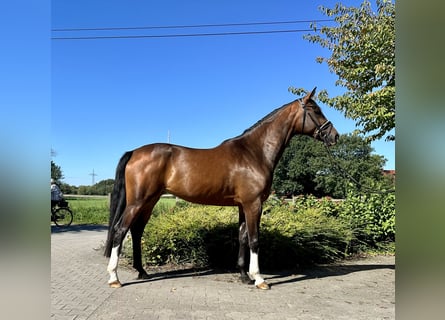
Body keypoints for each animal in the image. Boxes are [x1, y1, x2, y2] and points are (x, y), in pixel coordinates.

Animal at [106, 88, 338, 290]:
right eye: (316, 110)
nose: (334, 136)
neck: (254, 152)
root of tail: (134, 152)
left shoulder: (243, 205)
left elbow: (243, 237)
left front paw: (244, 275)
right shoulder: (254, 204)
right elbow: (255, 239)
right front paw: (259, 279)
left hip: (149, 201)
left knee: (136, 231)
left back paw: (142, 271)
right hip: (137, 202)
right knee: (120, 230)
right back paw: (114, 277)